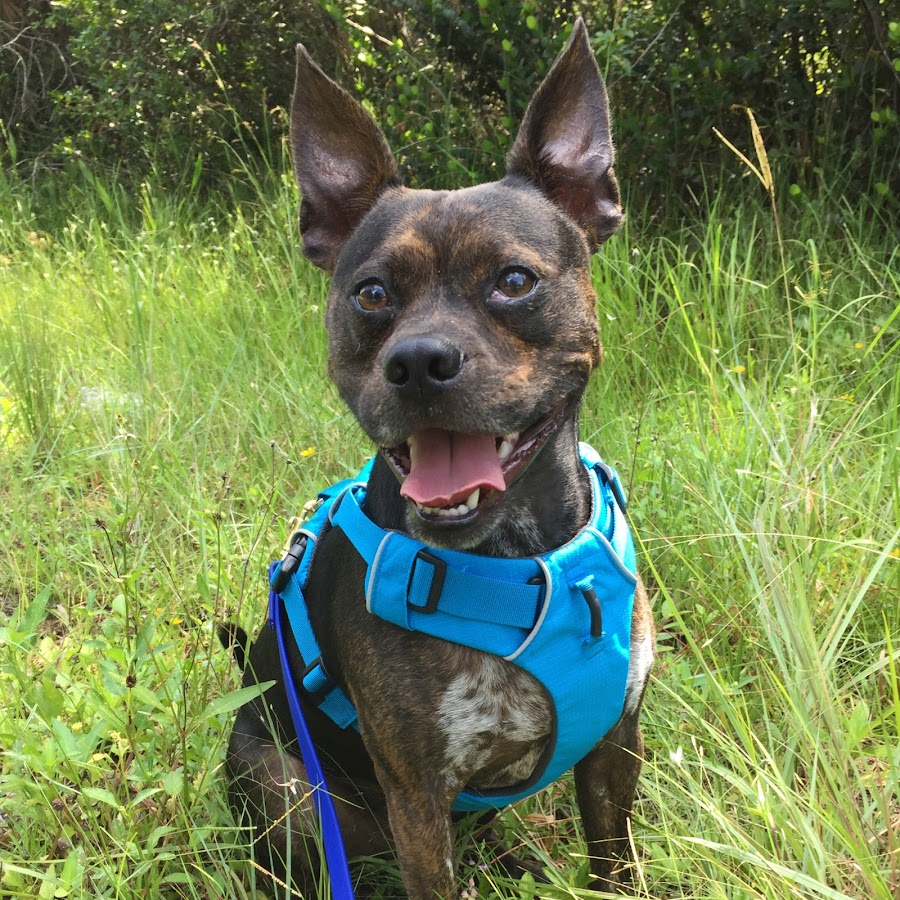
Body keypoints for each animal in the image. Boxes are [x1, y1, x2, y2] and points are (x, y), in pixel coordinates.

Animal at [227, 17, 652, 896]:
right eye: (371, 294)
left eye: (514, 281)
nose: (418, 361)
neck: (519, 559)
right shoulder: (417, 795)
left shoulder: (614, 749)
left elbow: (616, 865)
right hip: (287, 788)